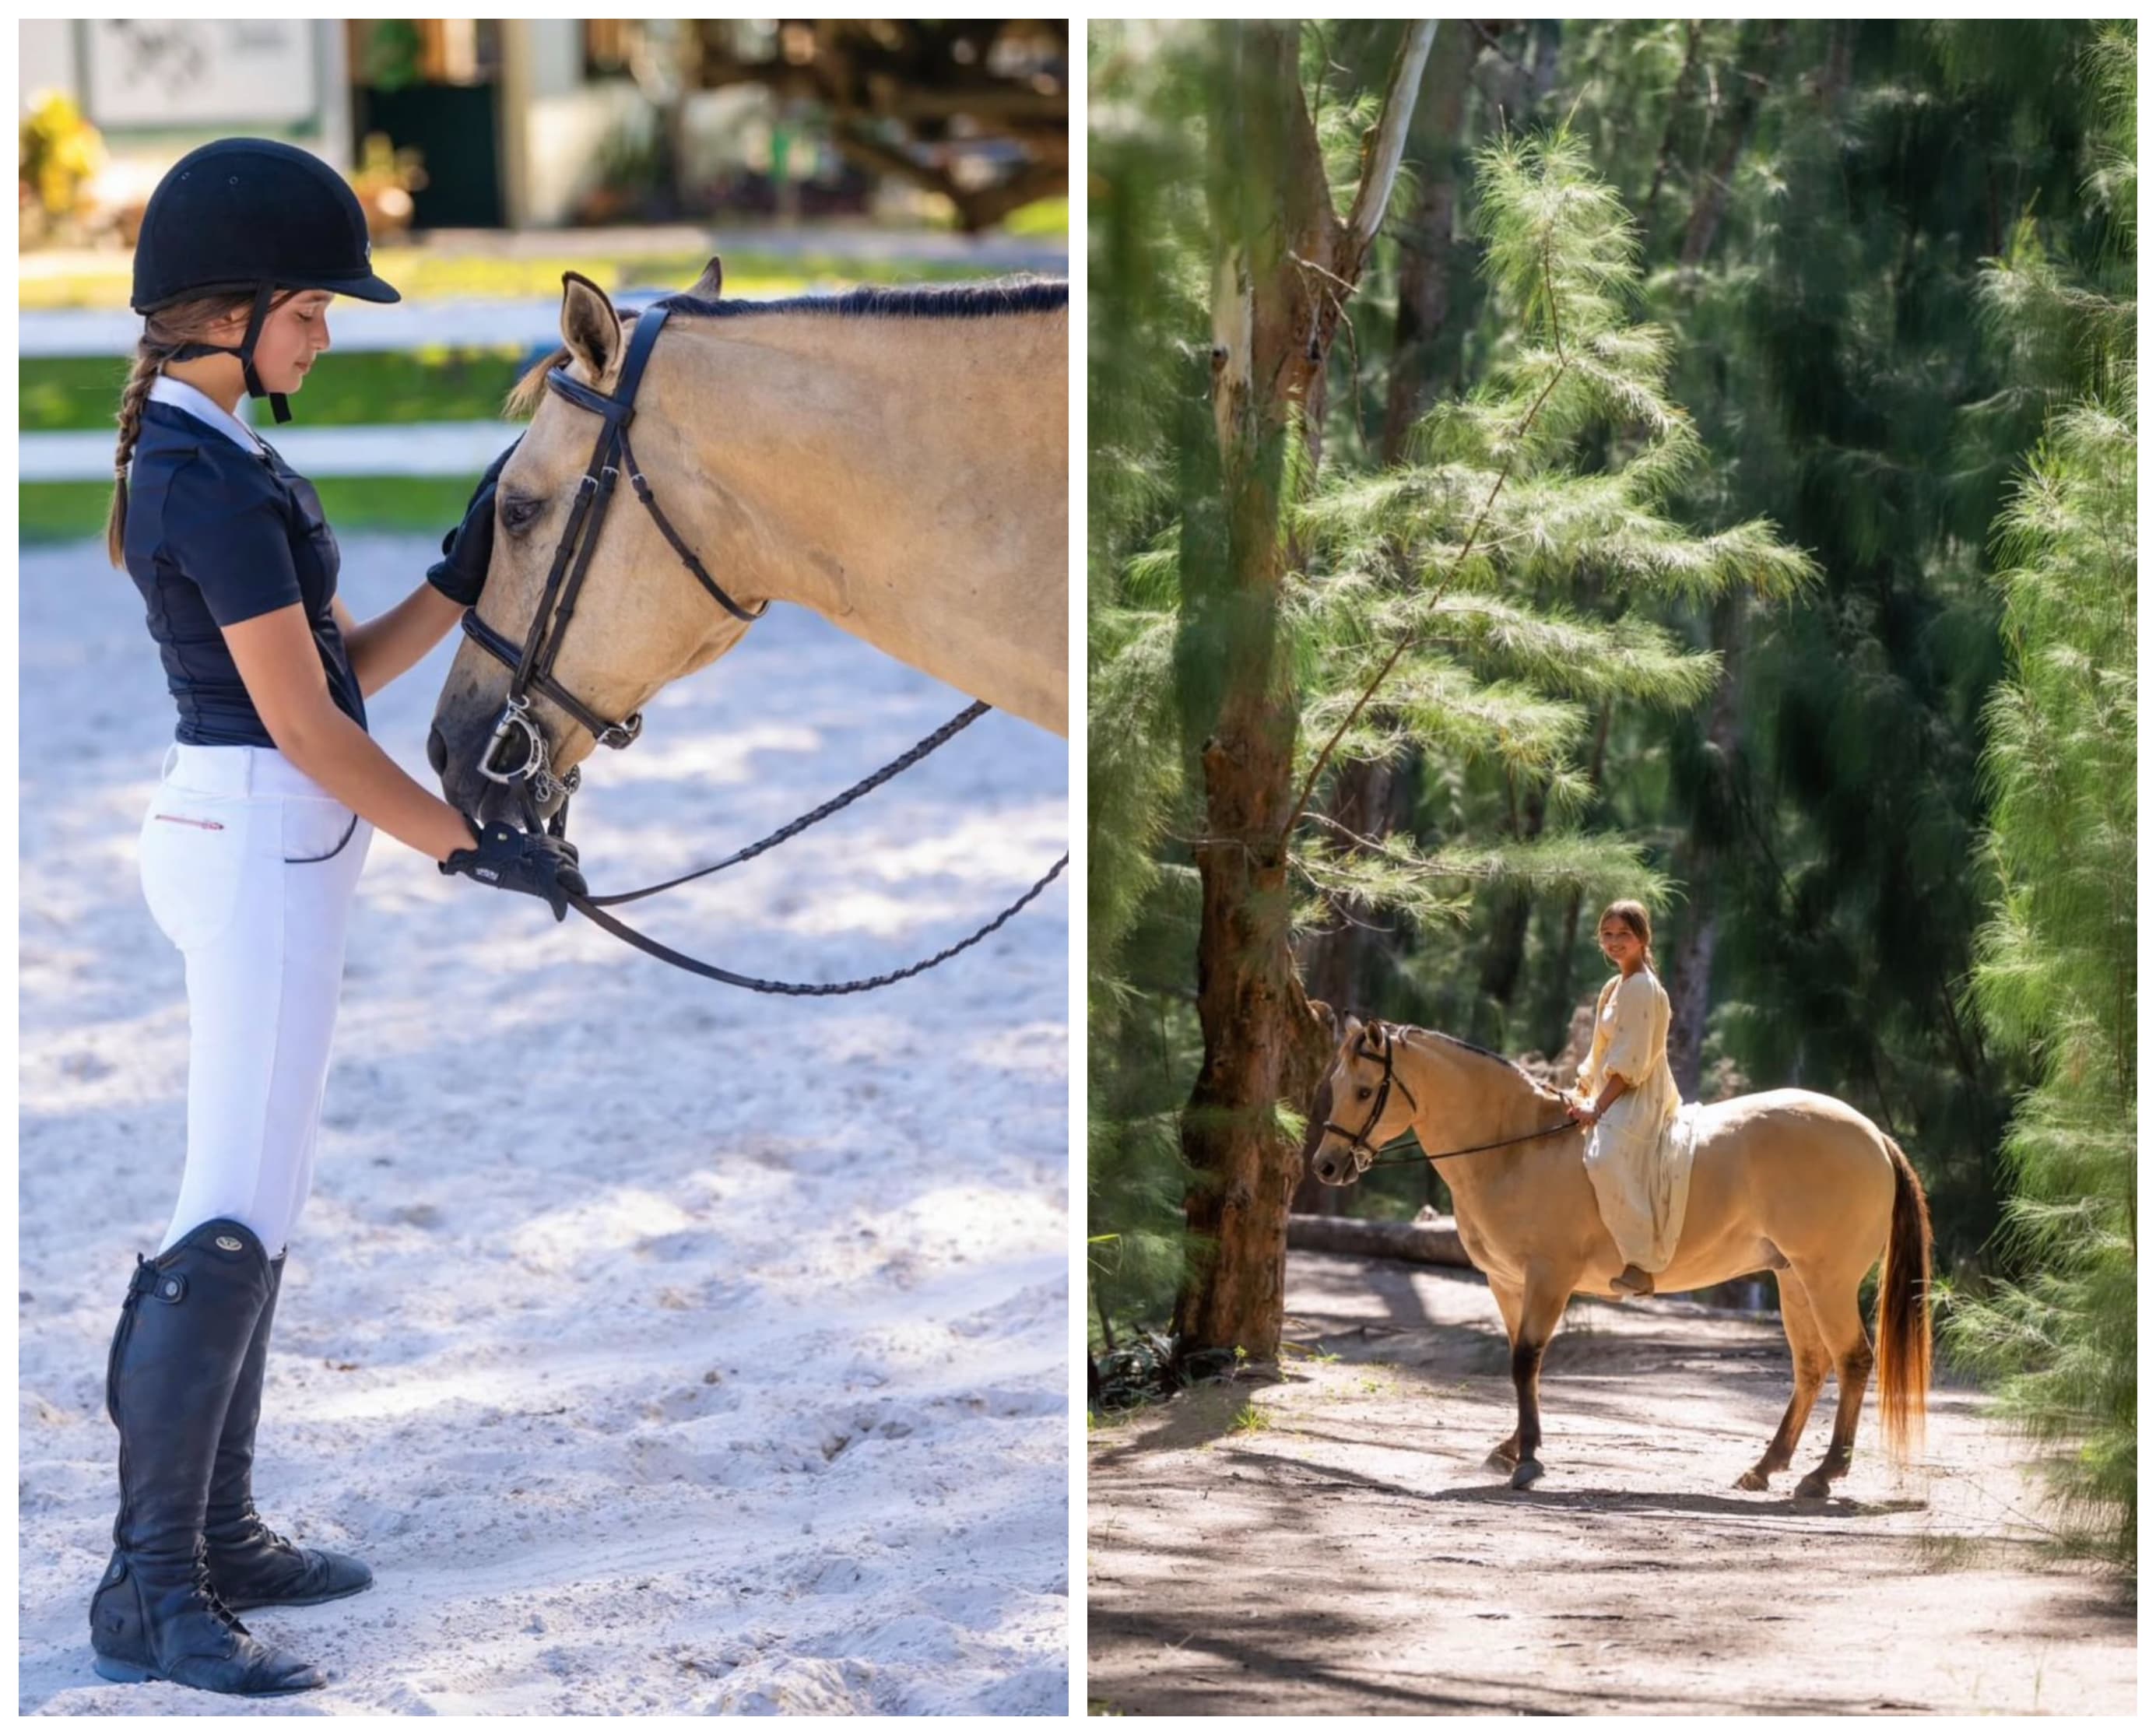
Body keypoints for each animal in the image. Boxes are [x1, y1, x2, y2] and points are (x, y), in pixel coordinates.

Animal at [1305, 1015, 1932, 1497]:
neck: (1518, 1149)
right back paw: (1766, 1467)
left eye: (1365, 1091)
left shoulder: (1548, 1278)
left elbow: (1526, 1360)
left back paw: (1823, 1475)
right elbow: (1520, 1363)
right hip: (1793, 1279)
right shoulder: (1507, 1283)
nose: (1327, 1167)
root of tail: (1873, 1135)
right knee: (1812, 1366)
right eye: (1336, 1083)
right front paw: (1513, 1446)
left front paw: (1527, 1460)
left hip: (1826, 1280)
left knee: (1852, 1360)